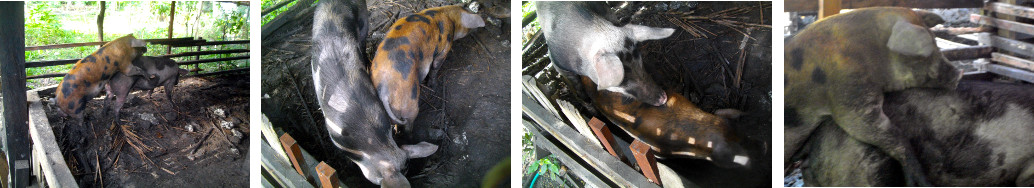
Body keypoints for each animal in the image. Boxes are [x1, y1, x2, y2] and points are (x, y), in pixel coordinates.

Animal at [781, 7, 959, 186]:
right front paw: (920, 182)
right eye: (924, 52)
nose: (959, 72)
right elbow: (877, 130)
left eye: (936, 42)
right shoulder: (848, 97)